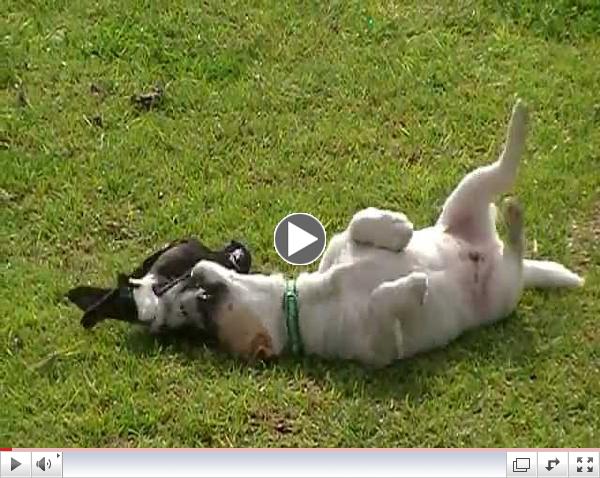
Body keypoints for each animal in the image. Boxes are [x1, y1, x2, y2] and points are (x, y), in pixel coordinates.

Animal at [135, 99, 580, 364]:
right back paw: (514, 216)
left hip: (465, 196)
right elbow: (385, 301)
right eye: (197, 319)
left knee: (503, 169)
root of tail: (489, 249)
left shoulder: (342, 245)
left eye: (197, 297)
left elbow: (356, 223)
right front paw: (414, 285)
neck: (301, 302)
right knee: (514, 243)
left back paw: (520, 124)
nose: (192, 275)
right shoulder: (380, 348)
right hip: (501, 291)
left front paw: (398, 229)